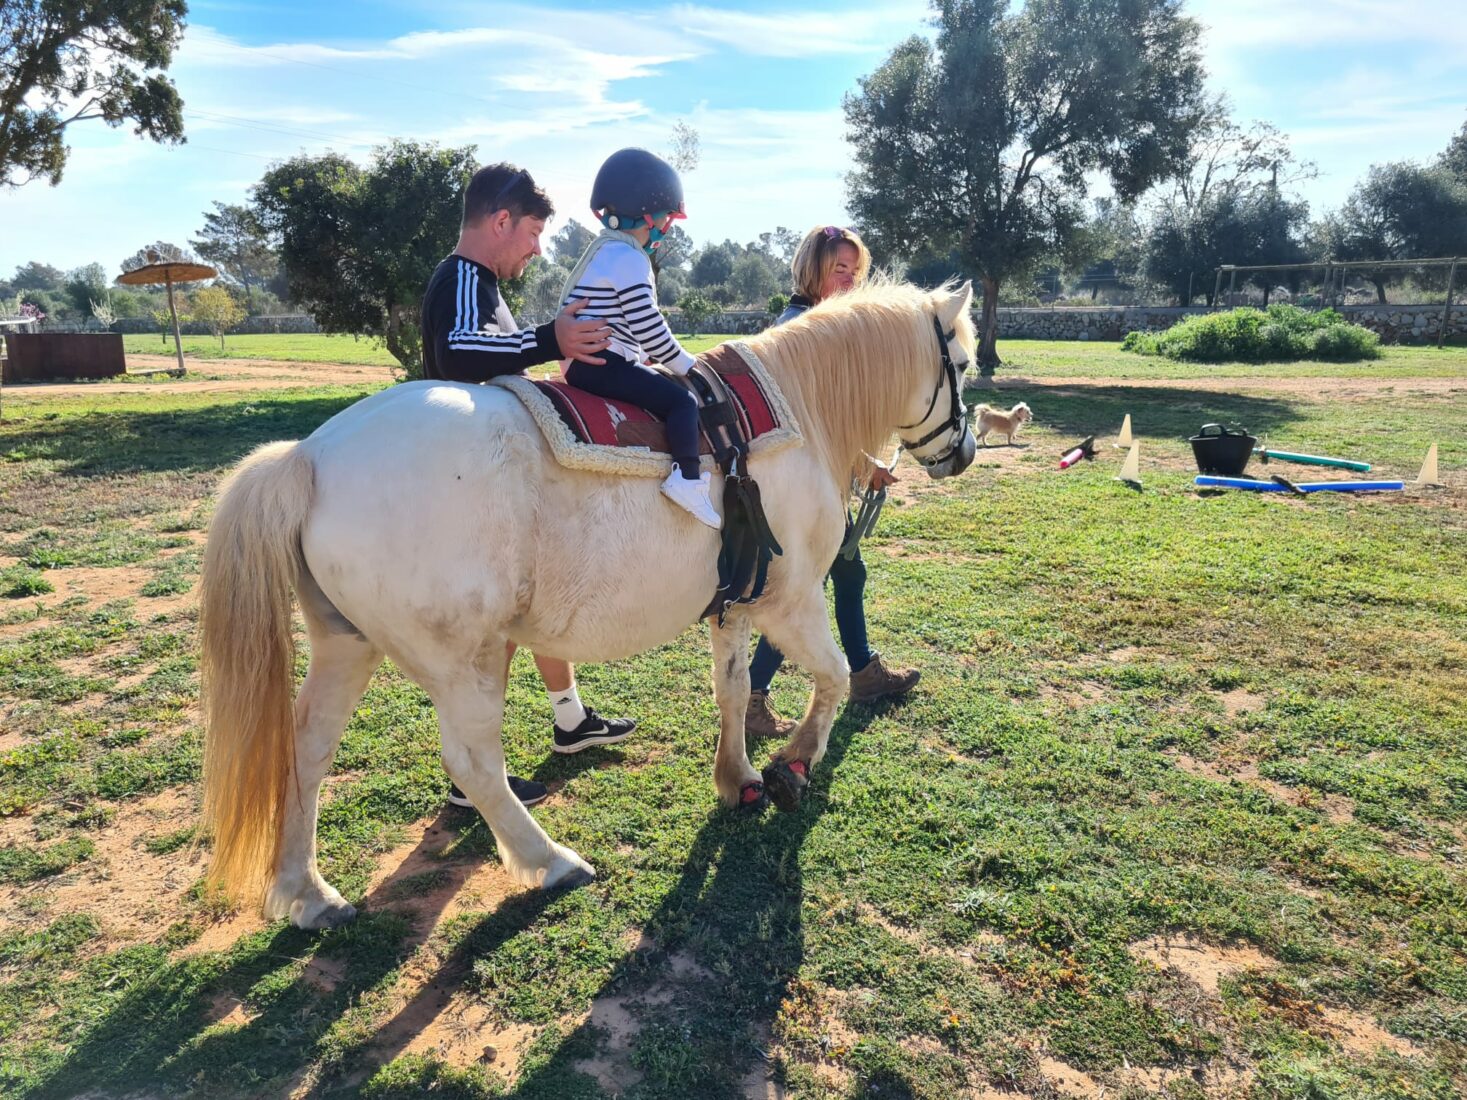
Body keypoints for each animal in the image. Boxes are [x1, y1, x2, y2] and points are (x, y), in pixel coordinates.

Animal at [195, 277, 974, 932]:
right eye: (962, 365)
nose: (963, 454)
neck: (798, 415)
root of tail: (310, 457)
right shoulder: (791, 600)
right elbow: (834, 677)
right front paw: (794, 765)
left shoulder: (732, 606)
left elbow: (729, 693)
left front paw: (741, 779)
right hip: (463, 662)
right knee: (473, 763)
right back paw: (548, 862)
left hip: (347, 644)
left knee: (307, 746)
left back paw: (306, 893)